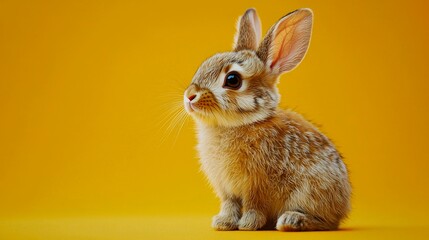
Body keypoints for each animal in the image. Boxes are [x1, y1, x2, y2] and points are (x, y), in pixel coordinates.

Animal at [182, 8, 350, 232]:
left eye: (232, 80)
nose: (190, 96)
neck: (236, 124)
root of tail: (344, 203)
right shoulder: (227, 189)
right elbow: (230, 204)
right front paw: (223, 223)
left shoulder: (257, 185)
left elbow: (254, 204)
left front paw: (248, 224)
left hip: (312, 191)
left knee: (327, 222)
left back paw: (291, 221)